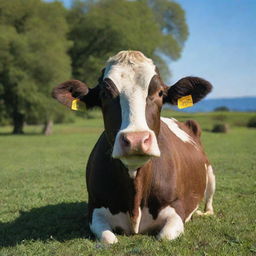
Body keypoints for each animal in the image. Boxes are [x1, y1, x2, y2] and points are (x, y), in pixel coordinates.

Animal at [52, 50, 216, 244]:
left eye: (160, 92)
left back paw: (204, 213)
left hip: (210, 174)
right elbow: (109, 240)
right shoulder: (95, 209)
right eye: (104, 94)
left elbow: (164, 236)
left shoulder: (177, 208)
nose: (136, 139)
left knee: (209, 200)